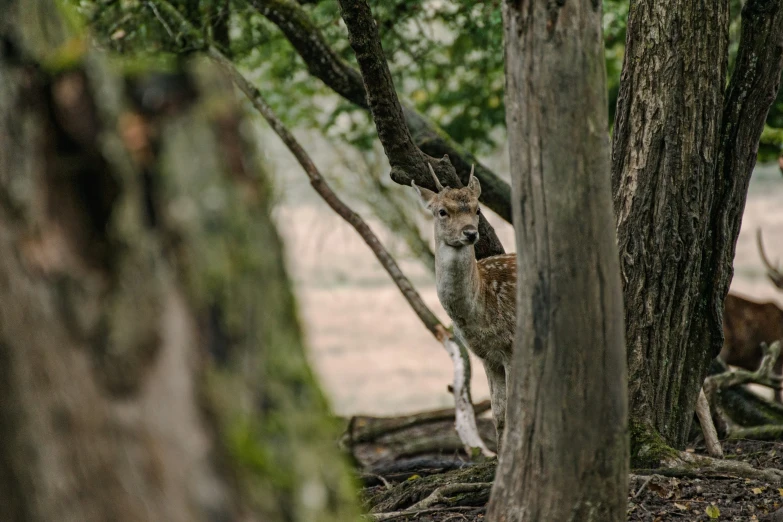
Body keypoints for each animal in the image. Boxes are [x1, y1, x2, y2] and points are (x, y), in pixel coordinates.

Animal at [414, 164, 516, 446]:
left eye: (477, 209)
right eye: (442, 211)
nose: (470, 233)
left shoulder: (513, 346)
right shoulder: (487, 356)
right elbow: (499, 415)